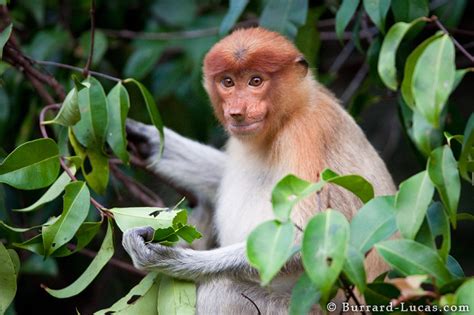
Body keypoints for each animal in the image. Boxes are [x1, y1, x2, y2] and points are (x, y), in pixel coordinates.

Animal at [123, 27, 396, 315]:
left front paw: (166, 256)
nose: (237, 112)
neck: (289, 113)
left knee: (218, 291)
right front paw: (145, 140)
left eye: (256, 81)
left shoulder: (306, 131)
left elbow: (309, 243)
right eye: (228, 82)